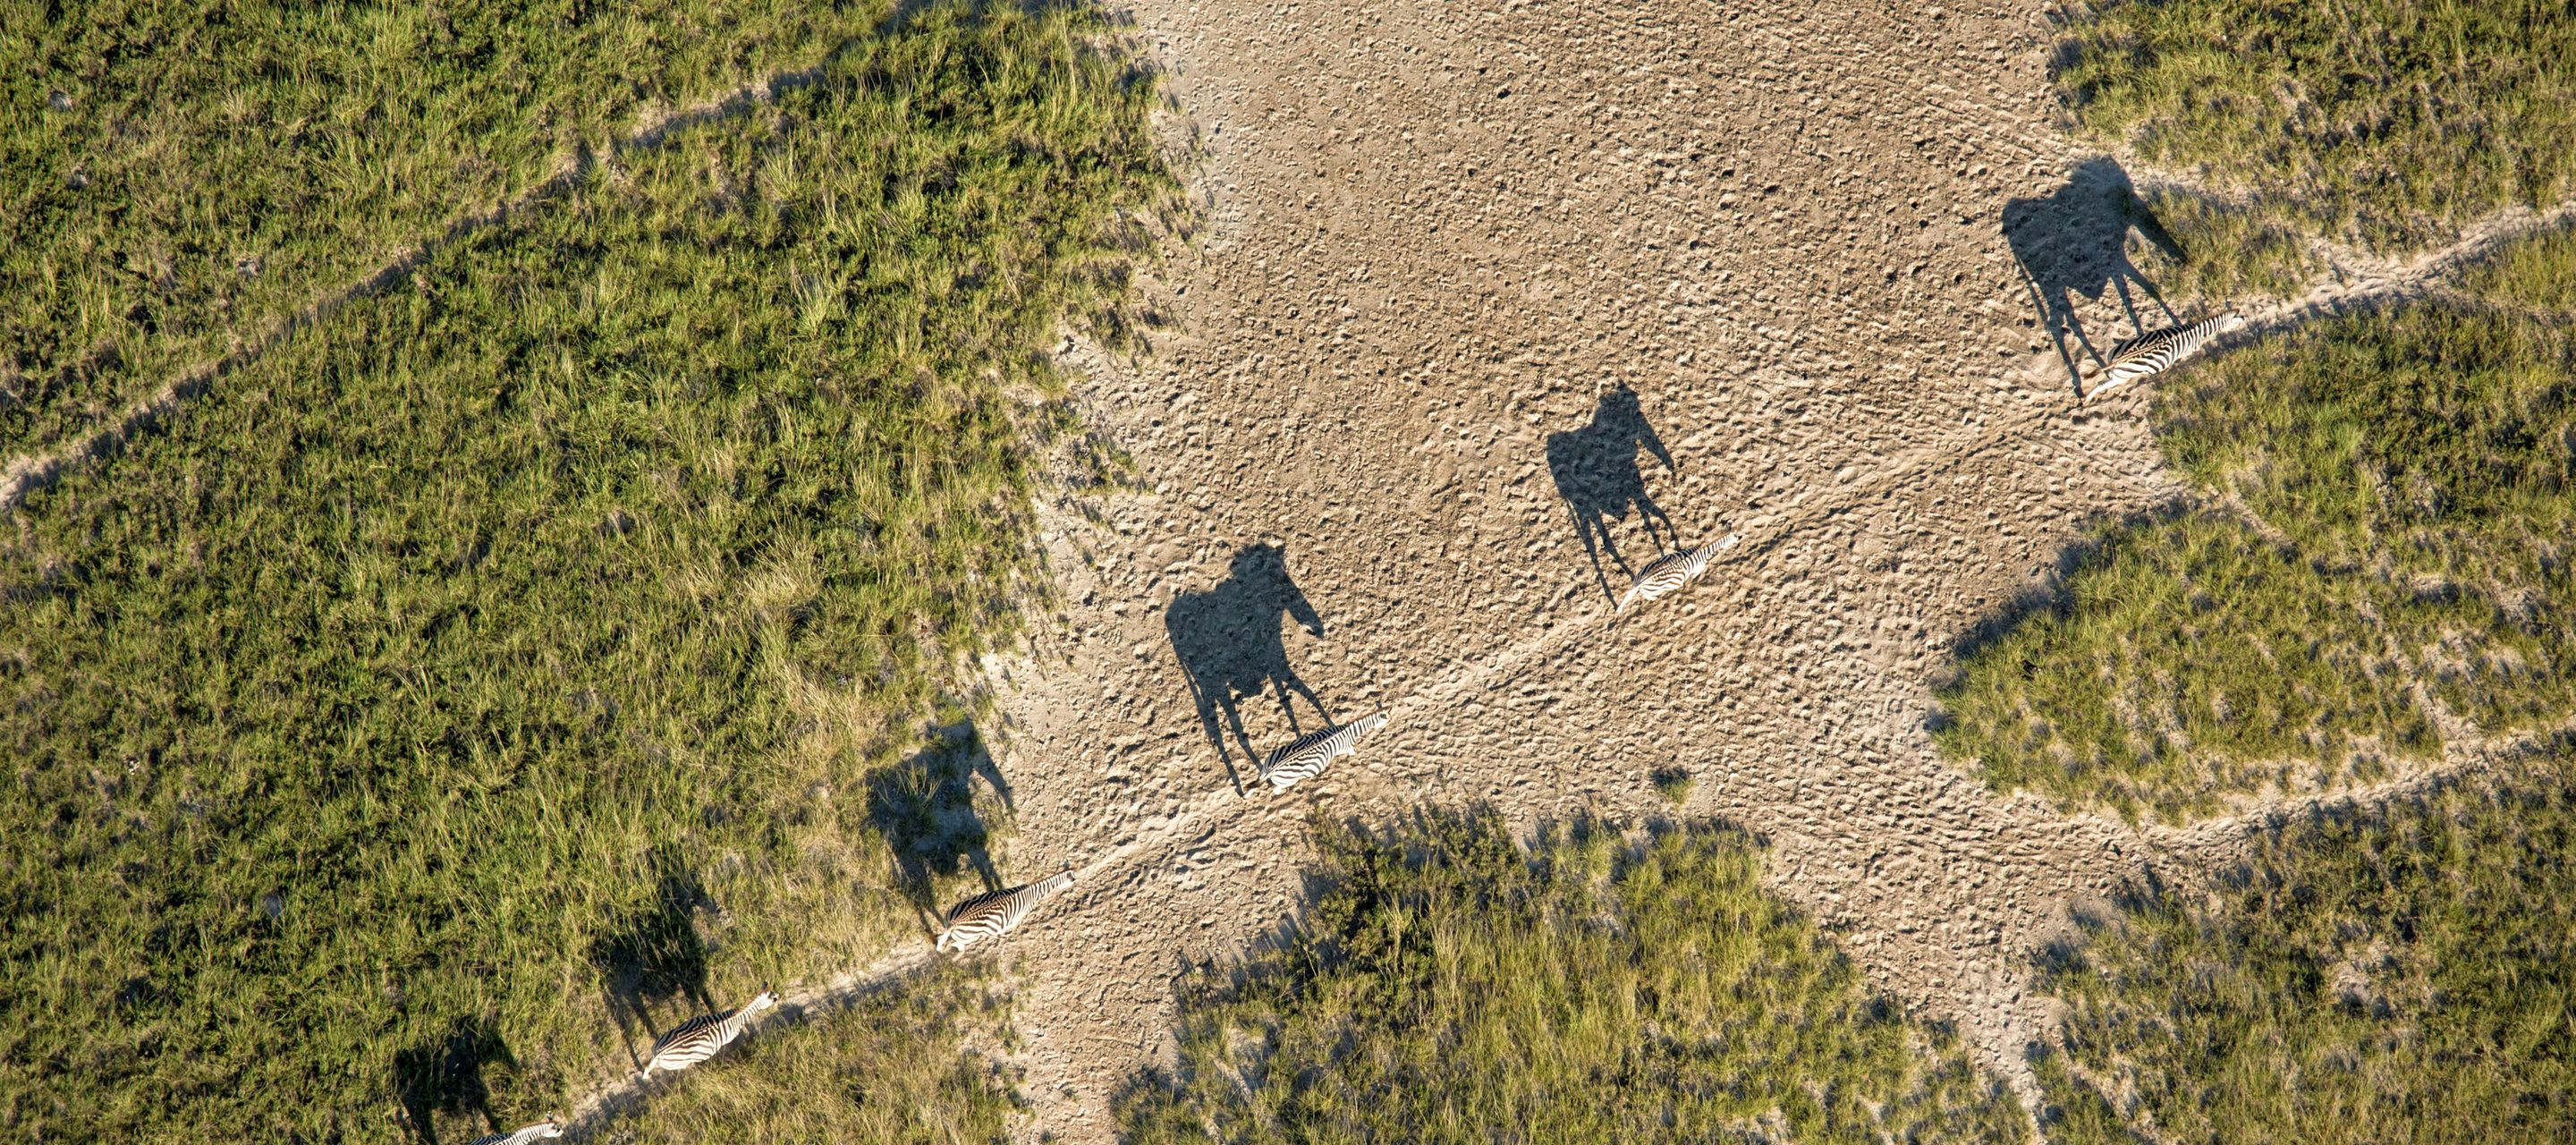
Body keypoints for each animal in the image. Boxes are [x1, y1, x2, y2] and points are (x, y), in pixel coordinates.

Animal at [639, 989, 778, 1080]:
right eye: (774, 998)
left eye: (774, 993)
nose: (779, 995)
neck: (736, 1017)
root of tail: (660, 1053)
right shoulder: (728, 1038)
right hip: (681, 1063)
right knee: (688, 1069)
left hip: (658, 1046)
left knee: (648, 1068)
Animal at [936, 867, 1077, 952]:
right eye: (1073, 882)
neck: (1033, 893)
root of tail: (955, 923)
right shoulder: (1019, 917)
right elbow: (1011, 927)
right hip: (971, 936)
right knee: (957, 944)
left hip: (950, 919)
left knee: (943, 939)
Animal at [1258, 712, 1390, 792]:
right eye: (1386, 721)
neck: (1348, 731)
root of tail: (1271, 770)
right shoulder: (1347, 747)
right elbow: (1353, 753)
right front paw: (1356, 759)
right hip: (1289, 780)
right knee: (1277, 790)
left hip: (1266, 765)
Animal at [1616, 534, 1738, 614]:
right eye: (1734, 539)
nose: (1739, 540)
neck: (1701, 551)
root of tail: (1643, 581)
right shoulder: (1699, 565)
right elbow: (1699, 570)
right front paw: (1692, 578)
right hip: (1656, 589)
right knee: (1646, 595)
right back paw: (1654, 599)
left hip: (1638, 578)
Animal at [2085, 312, 2246, 398]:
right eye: (2237, 323)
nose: (2245, 319)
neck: (2197, 330)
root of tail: (2117, 361)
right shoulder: (2189, 350)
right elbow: (2184, 357)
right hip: (2123, 377)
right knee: (2103, 385)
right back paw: (2088, 399)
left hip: (2113, 361)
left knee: (2105, 379)